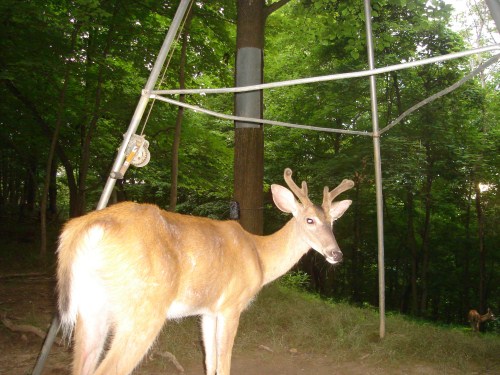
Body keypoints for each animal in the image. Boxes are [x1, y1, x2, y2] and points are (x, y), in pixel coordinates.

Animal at [56, 169, 354, 374]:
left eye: (333, 222)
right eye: (310, 220)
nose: (336, 254)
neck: (259, 255)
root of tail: (84, 228)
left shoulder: (207, 311)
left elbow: (209, 363)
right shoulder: (231, 305)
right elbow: (223, 365)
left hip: (91, 307)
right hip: (143, 308)